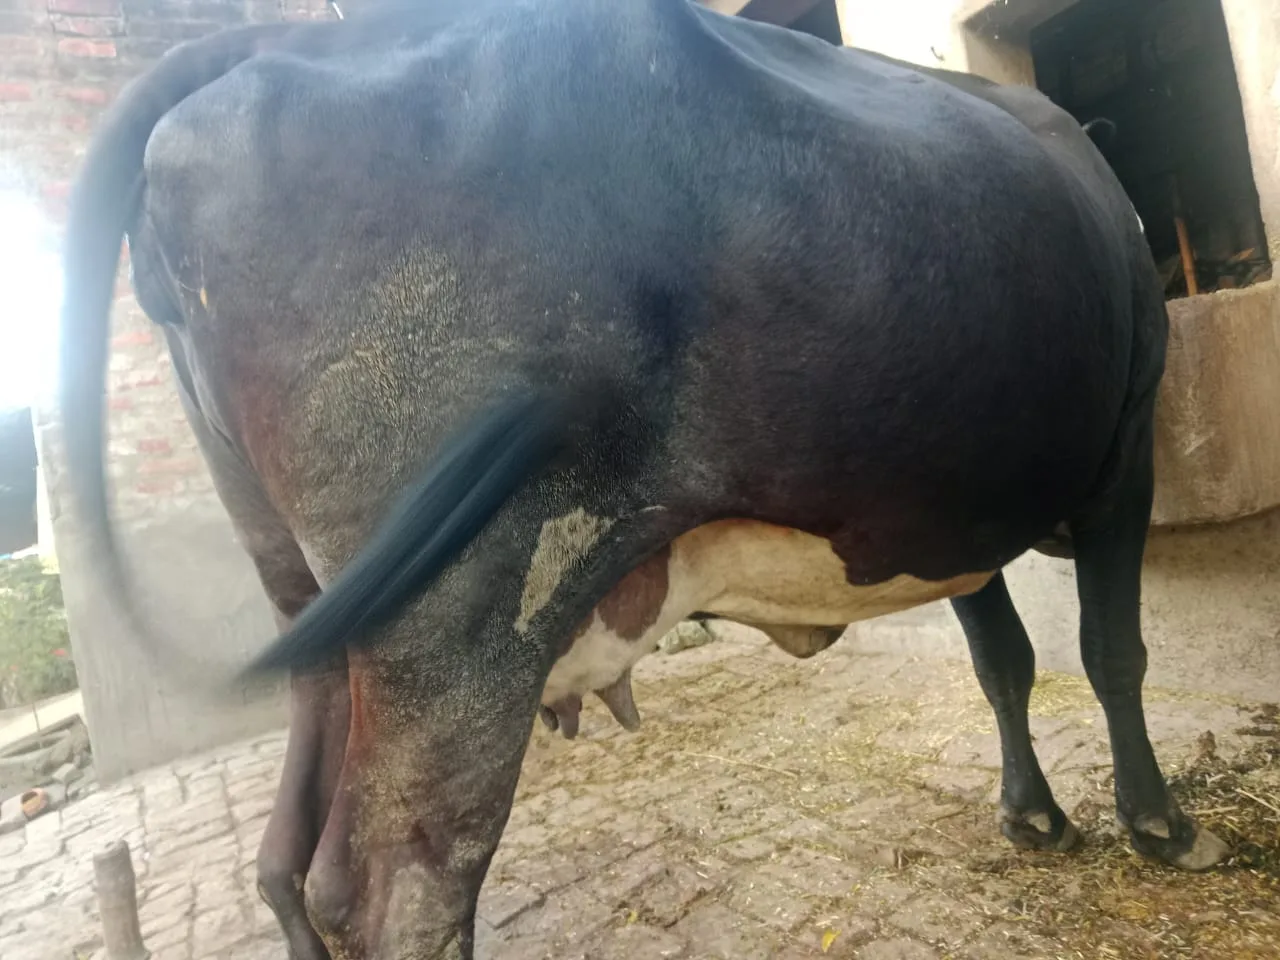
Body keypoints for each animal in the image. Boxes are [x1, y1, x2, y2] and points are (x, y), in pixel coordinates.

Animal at [58, 1, 1230, 957]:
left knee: (283, 863)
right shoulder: (1123, 452)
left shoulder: (942, 509)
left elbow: (1004, 661)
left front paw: (1032, 815)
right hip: (456, 633)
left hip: (313, 611)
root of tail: (274, 39)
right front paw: (1160, 825)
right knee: (395, 892)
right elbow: (1110, 652)